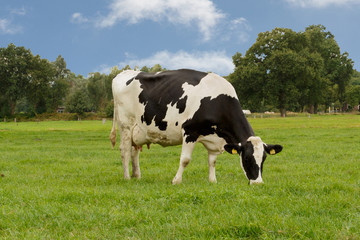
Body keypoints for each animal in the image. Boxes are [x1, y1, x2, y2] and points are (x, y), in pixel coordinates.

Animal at [108, 68, 282, 185]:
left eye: (264, 158)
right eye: (246, 158)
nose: (257, 183)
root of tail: (124, 72)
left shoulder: (214, 140)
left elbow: (212, 161)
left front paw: (212, 180)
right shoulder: (189, 131)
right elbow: (185, 159)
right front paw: (176, 180)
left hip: (138, 130)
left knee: (134, 151)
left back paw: (137, 175)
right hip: (125, 125)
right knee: (124, 150)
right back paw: (127, 177)